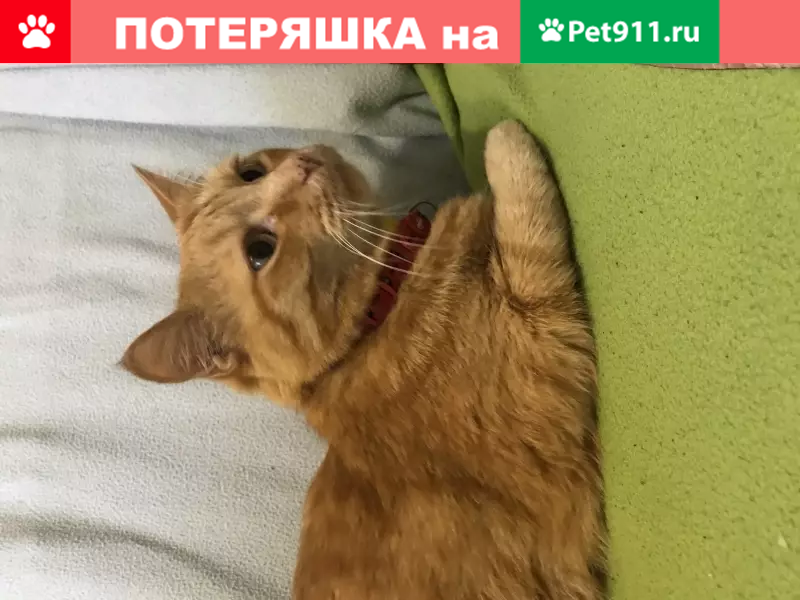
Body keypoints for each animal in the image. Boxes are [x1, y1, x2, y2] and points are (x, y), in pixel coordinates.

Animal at [122, 120, 606, 600]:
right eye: (260, 250)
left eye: (251, 172)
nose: (303, 165)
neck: (372, 326)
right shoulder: (545, 322)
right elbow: (520, 188)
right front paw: (503, 135)